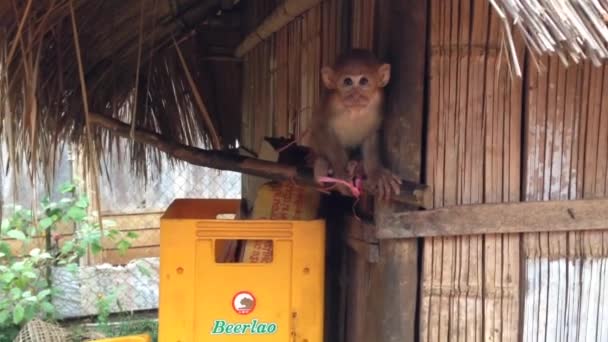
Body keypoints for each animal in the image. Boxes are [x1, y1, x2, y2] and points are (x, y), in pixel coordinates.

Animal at [308, 48, 404, 200]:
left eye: (364, 81)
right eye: (347, 82)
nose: (355, 96)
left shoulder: (379, 100)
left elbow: (372, 132)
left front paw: (376, 172)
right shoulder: (331, 103)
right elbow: (321, 126)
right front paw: (340, 170)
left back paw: (357, 165)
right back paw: (323, 163)